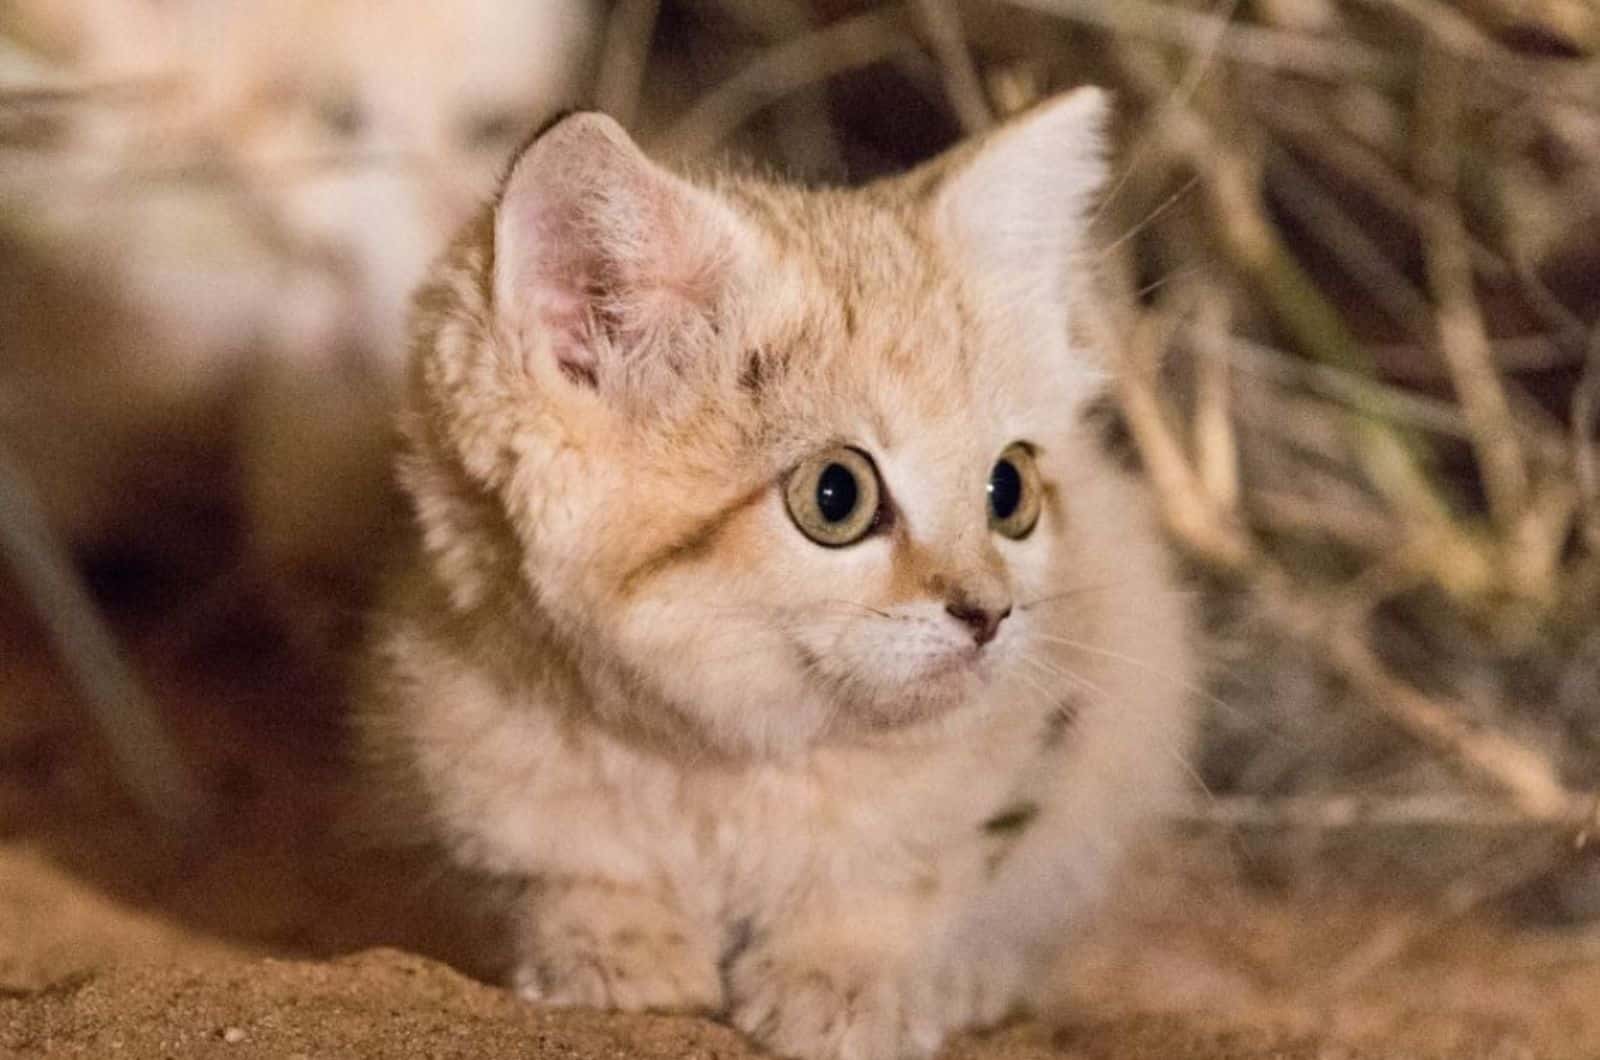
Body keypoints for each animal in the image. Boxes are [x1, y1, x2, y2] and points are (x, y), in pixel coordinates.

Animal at [363, 93, 1190, 1060]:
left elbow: (908, 877)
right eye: (836, 495)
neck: (720, 768)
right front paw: (611, 945)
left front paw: (846, 977)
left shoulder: (1040, 748)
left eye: (1009, 488)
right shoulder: (461, 747)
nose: (992, 613)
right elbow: (562, 867)